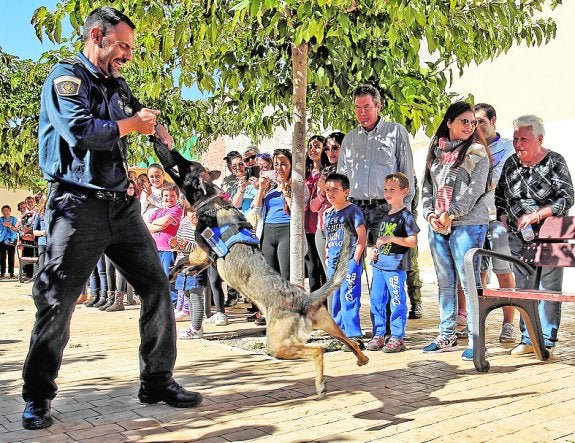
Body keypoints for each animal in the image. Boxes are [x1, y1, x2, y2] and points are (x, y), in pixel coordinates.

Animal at [153, 143, 368, 398]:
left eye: (186, 165)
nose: (168, 148)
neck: (212, 201)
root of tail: (305, 300)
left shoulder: (201, 251)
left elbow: (182, 261)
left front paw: (174, 272)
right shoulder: (205, 257)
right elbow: (192, 264)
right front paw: (189, 272)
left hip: (277, 345)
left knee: (318, 350)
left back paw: (321, 384)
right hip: (328, 324)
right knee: (350, 341)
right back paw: (361, 359)